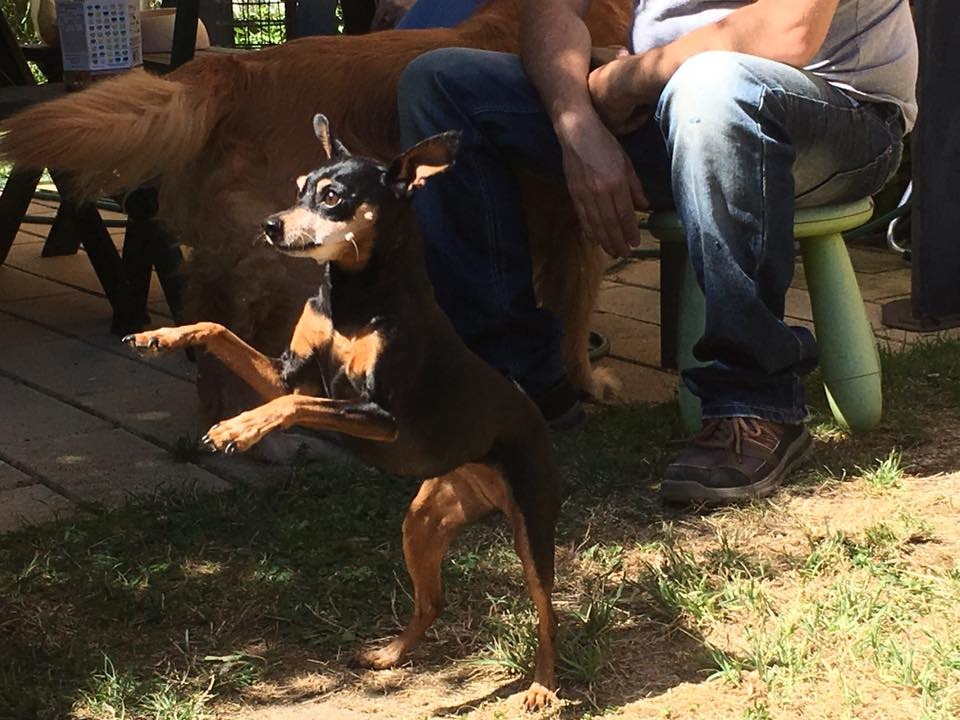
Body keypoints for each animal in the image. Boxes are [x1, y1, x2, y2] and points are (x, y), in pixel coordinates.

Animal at [0, 0, 631, 429]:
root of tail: (234, 70)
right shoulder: (581, 218)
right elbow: (572, 312)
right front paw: (584, 381)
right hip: (290, 254)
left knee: (209, 318)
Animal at [122, 115, 562, 710]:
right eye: (299, 185)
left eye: (332, 196)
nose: (269, 225)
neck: (354, 299)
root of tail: (530, 412)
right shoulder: (285, 371)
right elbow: (220, 332)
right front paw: (160, 336)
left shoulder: (380, 416)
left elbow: (297, 404)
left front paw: (240, 427)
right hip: (423, 522)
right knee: (434, 602)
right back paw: (388, 655)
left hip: (531, 529)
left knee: (547, 612)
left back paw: (542, 686)